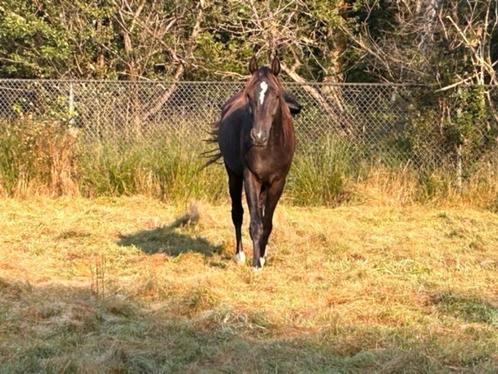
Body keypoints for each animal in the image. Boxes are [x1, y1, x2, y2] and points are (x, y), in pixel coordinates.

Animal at [206, 56, 296, 268]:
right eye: (249, 95)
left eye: (276, 95)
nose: (258, 136)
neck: (269, 147)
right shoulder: (250, 178)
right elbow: (255, 222)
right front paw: (255, 264)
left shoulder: (278, 182)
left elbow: (267, 222)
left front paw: (262, 257)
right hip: (233, 175)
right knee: (237, 213)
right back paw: (240, 255)